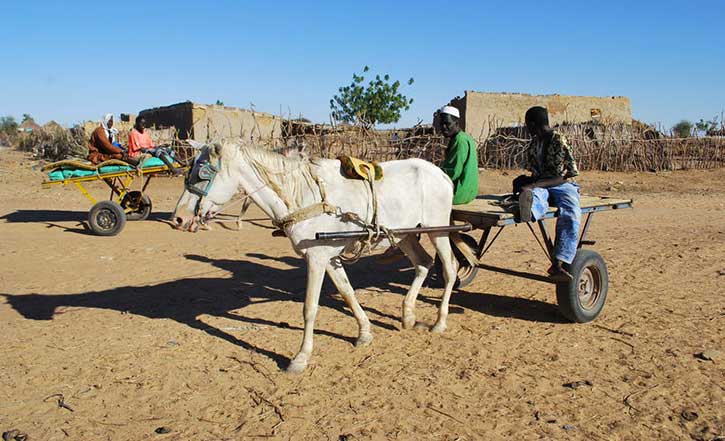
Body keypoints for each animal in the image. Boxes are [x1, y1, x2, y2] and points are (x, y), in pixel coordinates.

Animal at [173, 142, 456, 372]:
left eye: (204, 172)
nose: (179, 218)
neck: (304, 196)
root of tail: (441, 173)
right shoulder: (329, 257)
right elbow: (347, 292)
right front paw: (364, 333)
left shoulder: (317, 259)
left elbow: (309, 308)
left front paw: (301, 357)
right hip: (405, 235)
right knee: (423, 264)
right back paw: (408, 315)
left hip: (438, 229)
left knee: (449, 269)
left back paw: (440, 323)